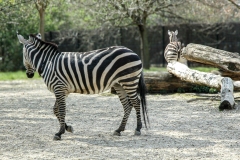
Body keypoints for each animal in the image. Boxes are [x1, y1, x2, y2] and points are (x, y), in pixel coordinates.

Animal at [16, 32, 148, 140]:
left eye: (23, 54)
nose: (29, 75)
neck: (48, 62)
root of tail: (133, 52)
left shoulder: (59, 87)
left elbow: (62, 110)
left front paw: (59, 132)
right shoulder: (63, 90)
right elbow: (56, 110)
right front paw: (67, 128)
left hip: (129, 81)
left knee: (136, 102)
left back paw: (138, 129)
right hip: (119, 84)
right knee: (127, 105)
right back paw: (119, 129)